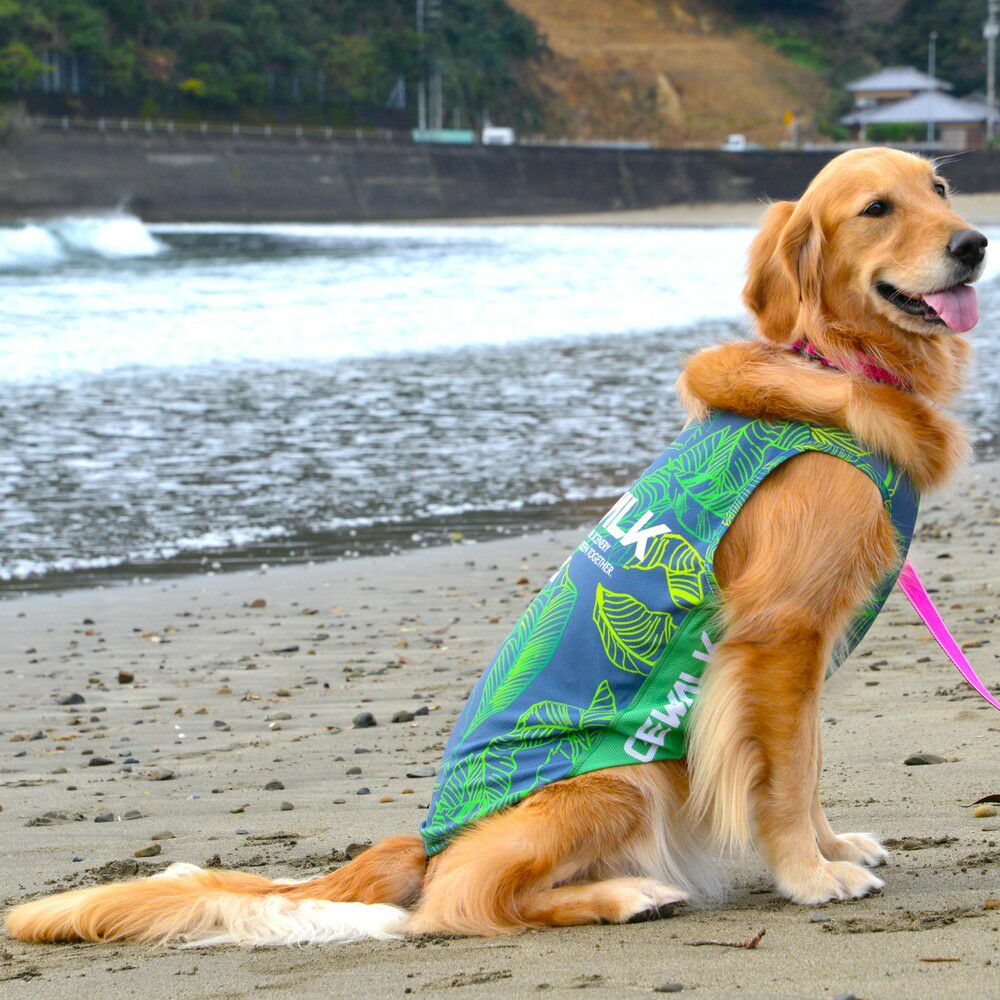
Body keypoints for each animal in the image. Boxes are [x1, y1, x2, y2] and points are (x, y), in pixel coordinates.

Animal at [6, 147, 985, 946]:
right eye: (876, 208)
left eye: (938, 188)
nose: (976, 243)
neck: (836, 365)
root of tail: (426, 839)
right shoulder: (777, 634)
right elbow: (780, 778)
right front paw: (810, 876)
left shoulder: (800, 655)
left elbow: (806, 765)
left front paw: (832, 845)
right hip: (617, 782)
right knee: (459, 902)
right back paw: (624, 895)